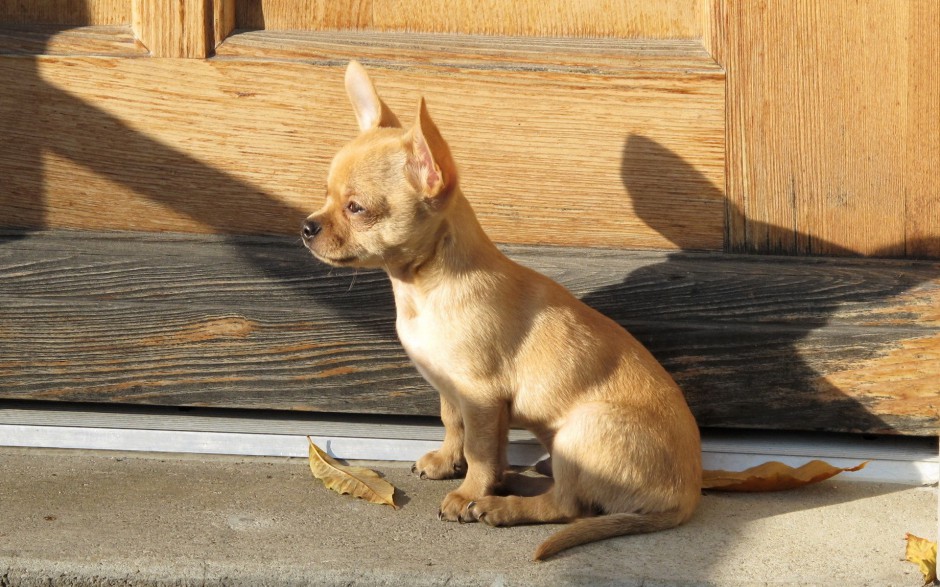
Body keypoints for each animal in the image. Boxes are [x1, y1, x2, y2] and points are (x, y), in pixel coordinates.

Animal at [302, 62, 696, 564]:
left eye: (356, 208)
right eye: (325, 196)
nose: (306, 226)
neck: (423, 288)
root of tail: (686, 497)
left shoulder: (482, 397)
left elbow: (482, 449)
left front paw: (469, 492)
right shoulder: (452, 389)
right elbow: (454, 426)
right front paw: (448, 462)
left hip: (579, 432)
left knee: (568, 506)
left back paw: (501, 506)